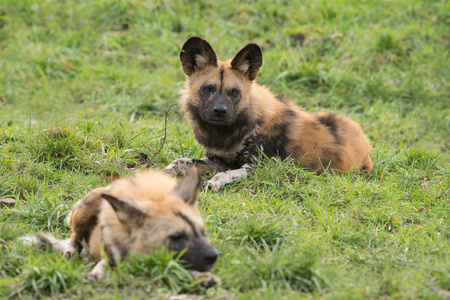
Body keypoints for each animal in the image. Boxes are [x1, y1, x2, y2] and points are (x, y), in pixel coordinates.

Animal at [20, 166, 221, 286]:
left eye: (202, 232)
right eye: (176, 237)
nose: (213, 256)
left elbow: (177, 266)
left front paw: (202, 277)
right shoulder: (113, 256)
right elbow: (104, 264)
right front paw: (96, 273)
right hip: (87, 208)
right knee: (74, 238)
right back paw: (72, 251)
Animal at [164, 35, 372, 190]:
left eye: (234, 92)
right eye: (207, 89)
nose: (220, 111)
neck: (227, 133)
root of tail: (365, 141)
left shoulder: (254, 166)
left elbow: (224, 174)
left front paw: (212, 183)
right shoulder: (216, 160)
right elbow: (178, 161)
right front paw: (164, 172)